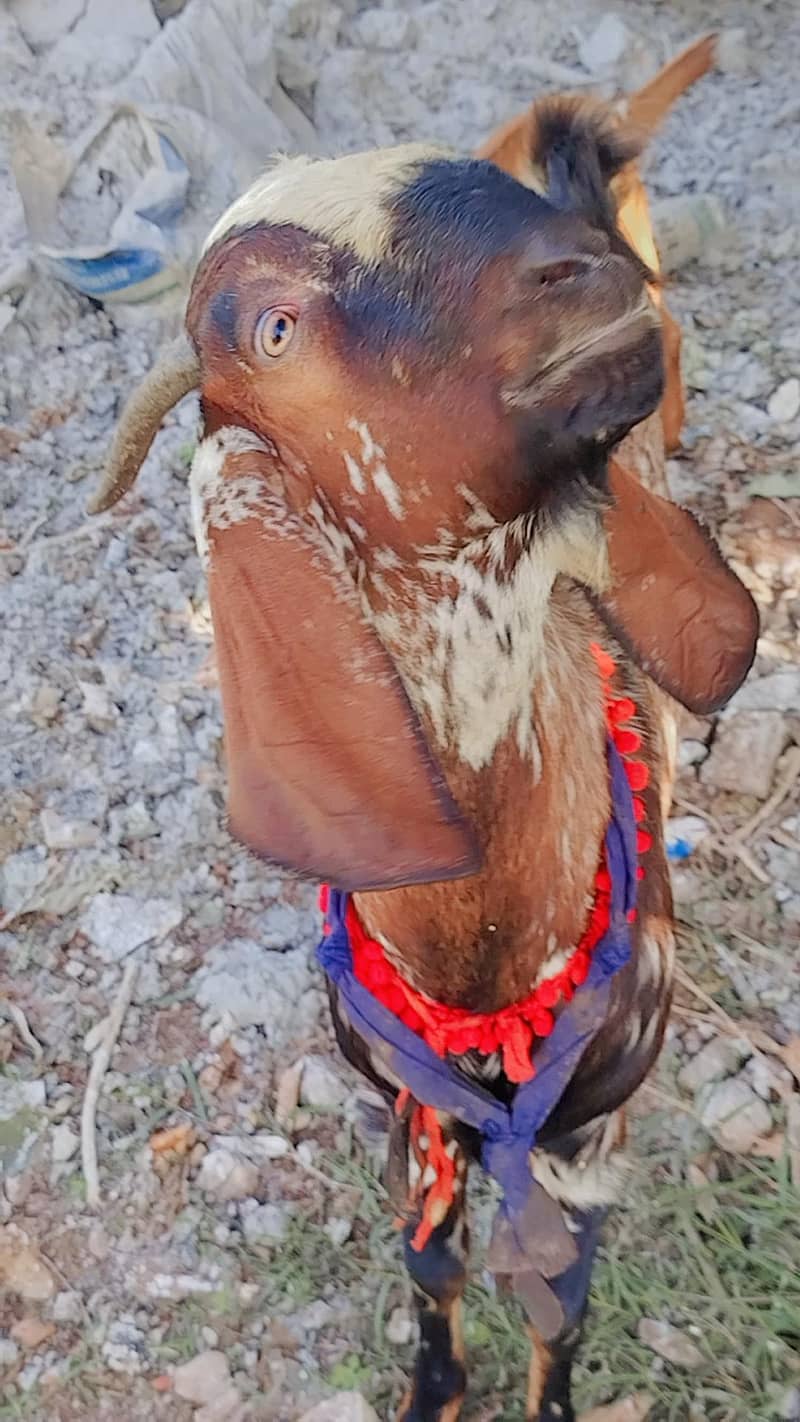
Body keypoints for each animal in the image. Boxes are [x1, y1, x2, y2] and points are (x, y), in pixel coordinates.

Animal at [89, 120, 757, 1420]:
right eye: (275, 329)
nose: (579, 265)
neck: (483, 965)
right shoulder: (409, 1112)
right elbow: (430, 1260)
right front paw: (433, 1387)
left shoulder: (589, 1137)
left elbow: (559, 1297)